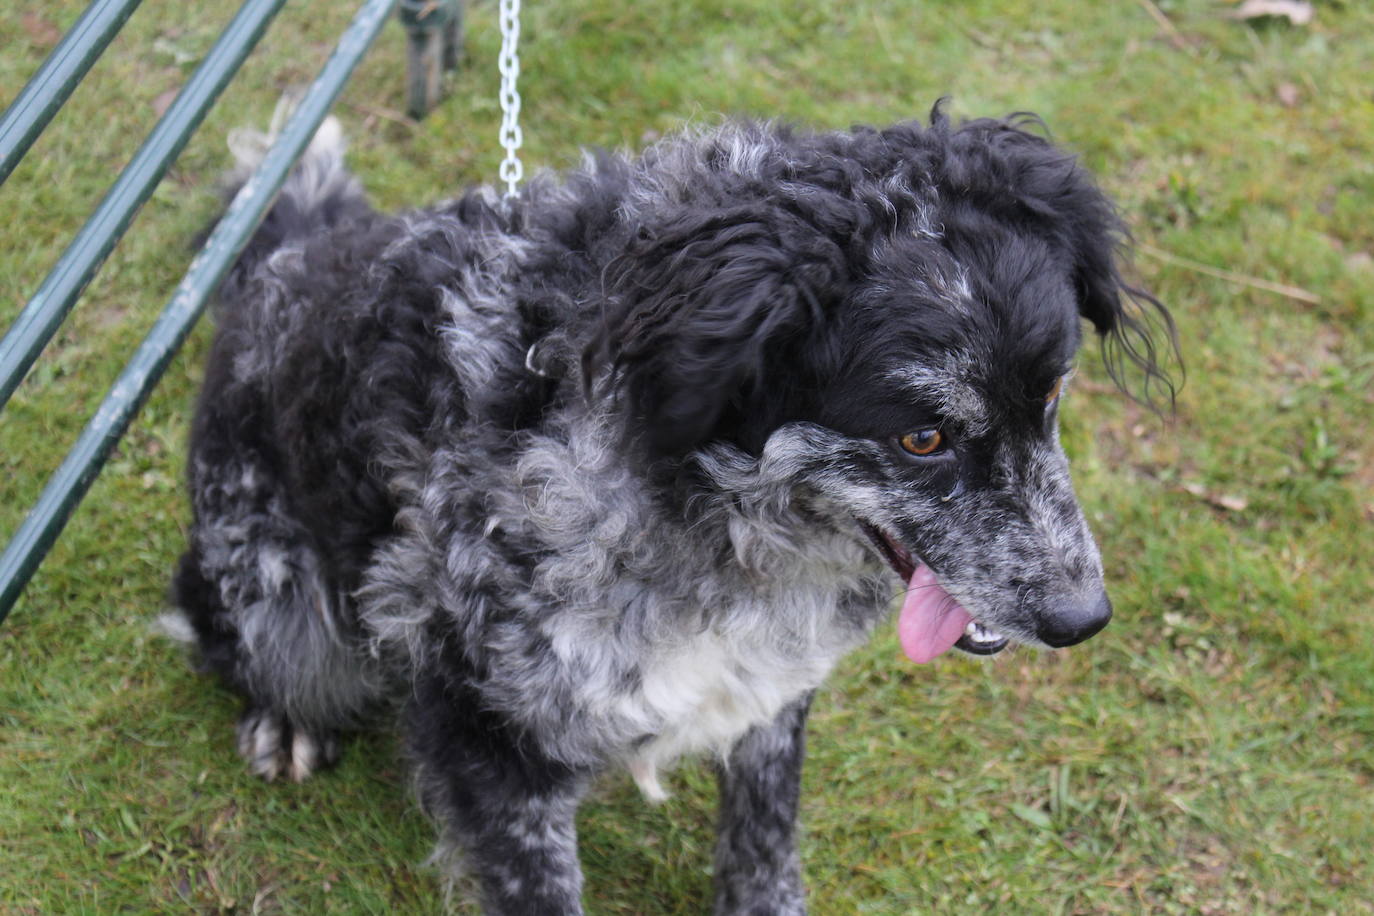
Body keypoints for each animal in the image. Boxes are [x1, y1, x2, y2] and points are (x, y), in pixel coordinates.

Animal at [166, 103, 1176, 911]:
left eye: (1052, 394)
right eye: (921, 440)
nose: (1084, 619)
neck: (712, 517)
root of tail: (284, 256)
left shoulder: (770, 689)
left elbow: (764, 835)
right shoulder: (486, 731)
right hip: (274, 591)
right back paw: (288, 718)